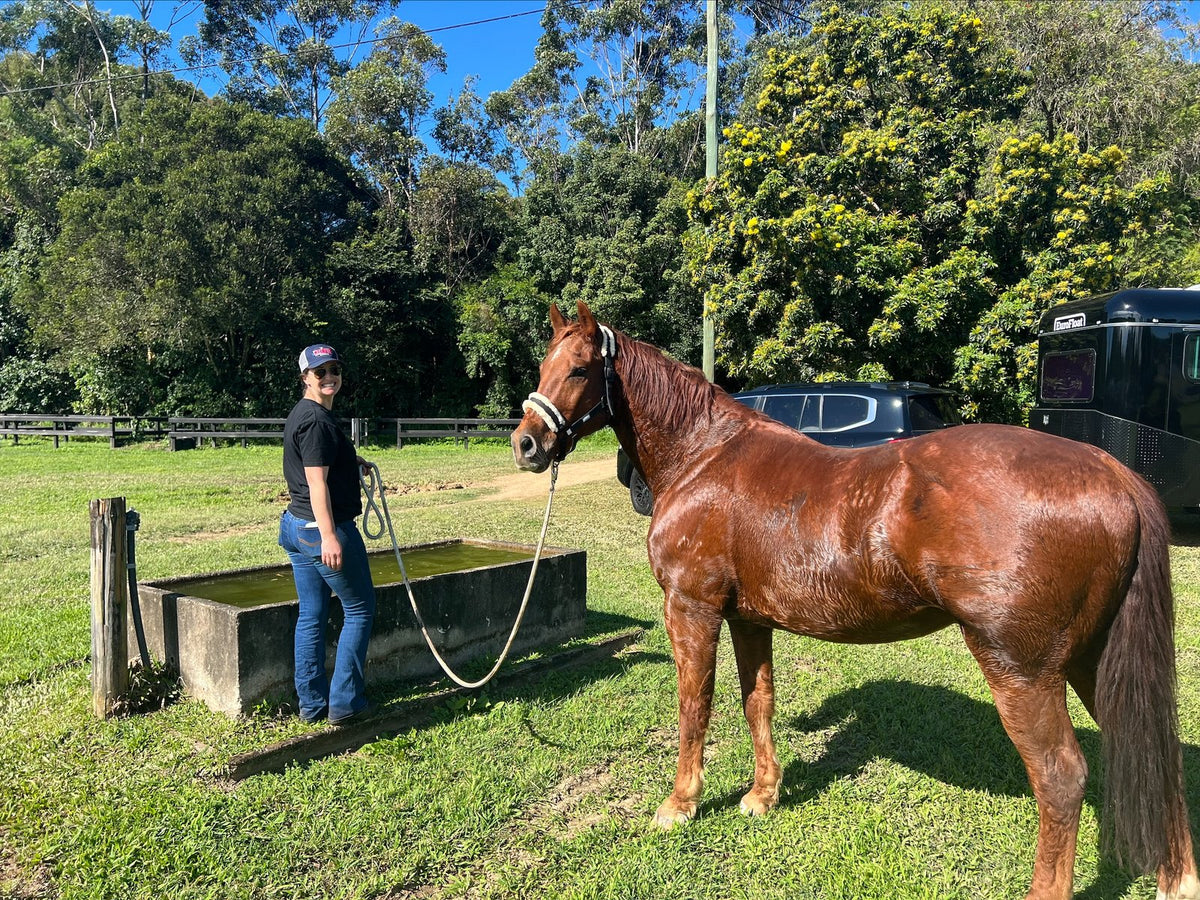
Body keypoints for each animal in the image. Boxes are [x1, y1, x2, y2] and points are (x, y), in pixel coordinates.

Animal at [510, 301, 1200, 900]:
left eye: (579, 369)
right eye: (542, 365)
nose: (526, 444)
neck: (703, 456)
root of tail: (1112, 473)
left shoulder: (693, 610)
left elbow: (694, 707)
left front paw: (679, 805)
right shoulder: (749, 620)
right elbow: (757, 701)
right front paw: (762, 796)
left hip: (1022, 668)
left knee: (1060, 778)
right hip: (1091, 660)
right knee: (1154, 753)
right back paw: (1177, 879)